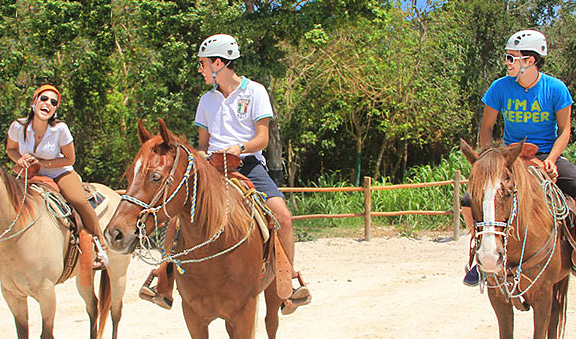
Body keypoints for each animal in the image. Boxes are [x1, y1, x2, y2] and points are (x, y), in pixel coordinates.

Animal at [0, 168, 130, 339]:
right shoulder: (11, 294)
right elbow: (22, 332)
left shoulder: (46, 291)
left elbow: (46, 333)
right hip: (84, 275)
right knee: (93, 307)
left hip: (118, 271)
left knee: (115, 311)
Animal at [103, 119, 284, 339]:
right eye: (129, 175)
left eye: (155, 176)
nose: (114, 234)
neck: (213, 250)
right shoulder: (193, 316)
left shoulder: (245, 313)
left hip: (274, 290)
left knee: (272, 323)